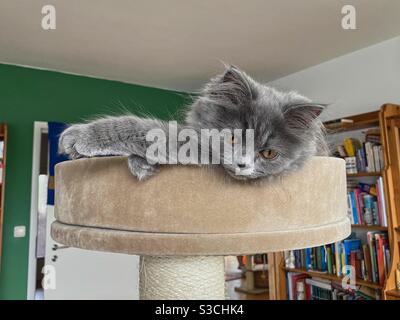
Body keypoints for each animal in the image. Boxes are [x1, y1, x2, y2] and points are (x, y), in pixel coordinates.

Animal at [59, 65, 328, 180]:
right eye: (232, 138)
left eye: (269, 153)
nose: (242, 165)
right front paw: (141, 165)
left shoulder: (193, 146)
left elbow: (141, 128)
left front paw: (79, 136)